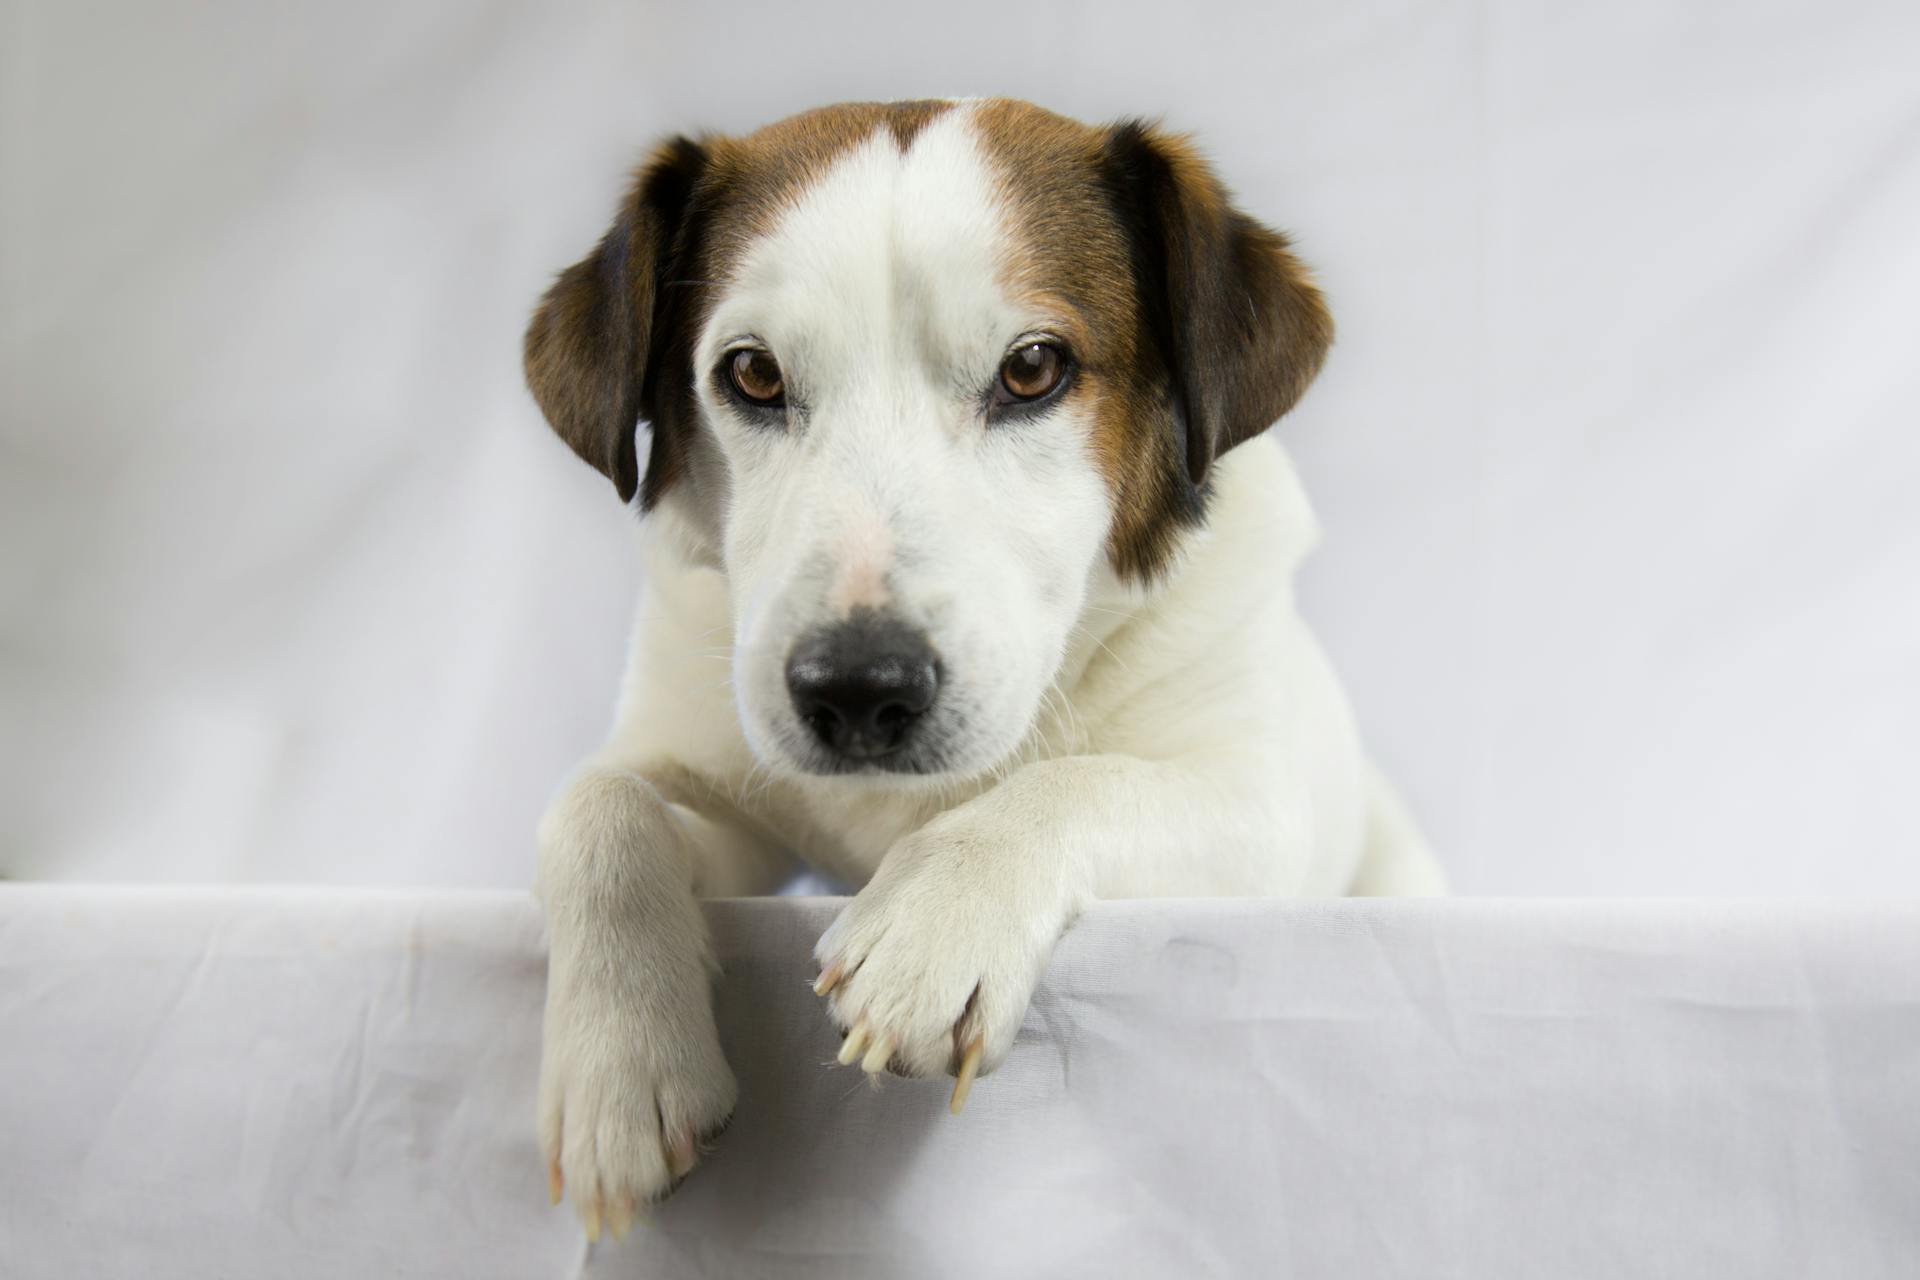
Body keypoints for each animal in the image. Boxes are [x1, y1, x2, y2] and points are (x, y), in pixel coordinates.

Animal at [526, 97, 1443, 1243]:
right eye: (753, 374)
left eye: (1032, 368)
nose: (857, 691)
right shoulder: (723, 784)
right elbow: (599, 804)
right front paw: (617, 1072)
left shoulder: (1268, 815)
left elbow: (1075, 780)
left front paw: (940, 911)